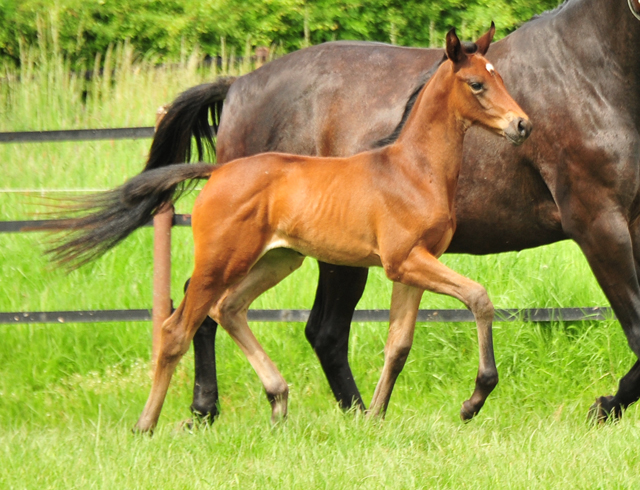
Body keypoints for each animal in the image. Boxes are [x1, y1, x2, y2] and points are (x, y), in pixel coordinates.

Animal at [130, 25, 528, 432]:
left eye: (500, 78)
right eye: (477, 83)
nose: (522, 124)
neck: (414, 171)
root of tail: (218, 172)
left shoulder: (414, 265)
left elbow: (398, 344)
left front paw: (375, 416)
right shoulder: (404, 261)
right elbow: (478, 297)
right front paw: (474, 400)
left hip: (278, 260)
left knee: (228, 308)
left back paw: (278, 400)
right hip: (220, 262)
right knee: (177, 329)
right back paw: (147, 424)